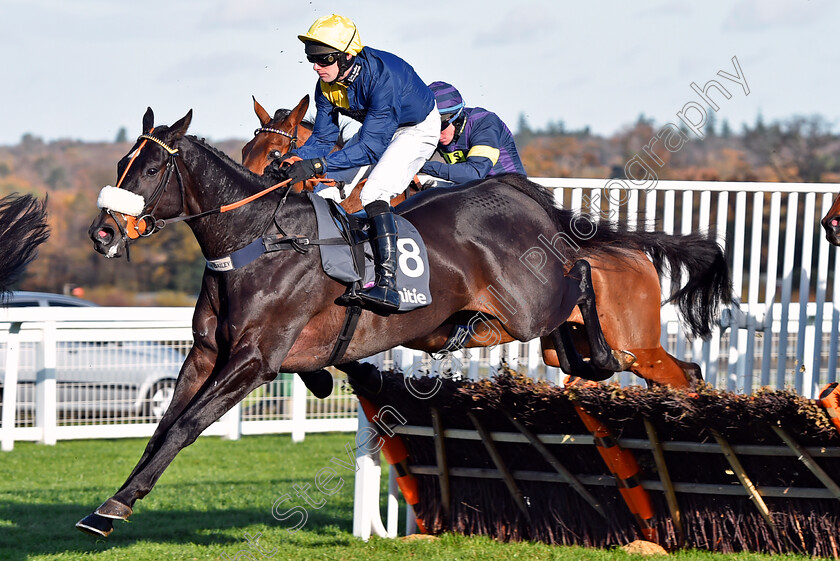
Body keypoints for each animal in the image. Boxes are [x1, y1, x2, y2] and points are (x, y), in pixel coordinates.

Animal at [80, 108, 668, 532]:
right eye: (119, 164)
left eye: (150, 169)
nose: (102, 233)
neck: (255, 241)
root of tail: (514, 190)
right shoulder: (206, 354)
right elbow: (163, 426)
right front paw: (117, 499)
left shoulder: (254, 360)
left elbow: (186, 425)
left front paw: (113, 508)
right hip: (510, 318)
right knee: (559, 329)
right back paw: (582, 360)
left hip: (531, 305)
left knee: (584, 275)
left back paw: (603, 354)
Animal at [241, 97, 728, 390]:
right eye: (245, 154)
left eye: (274, 161)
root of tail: (635, 255)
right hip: (563, 340)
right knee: (668, 370)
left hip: (636, 343)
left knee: (678, 374)